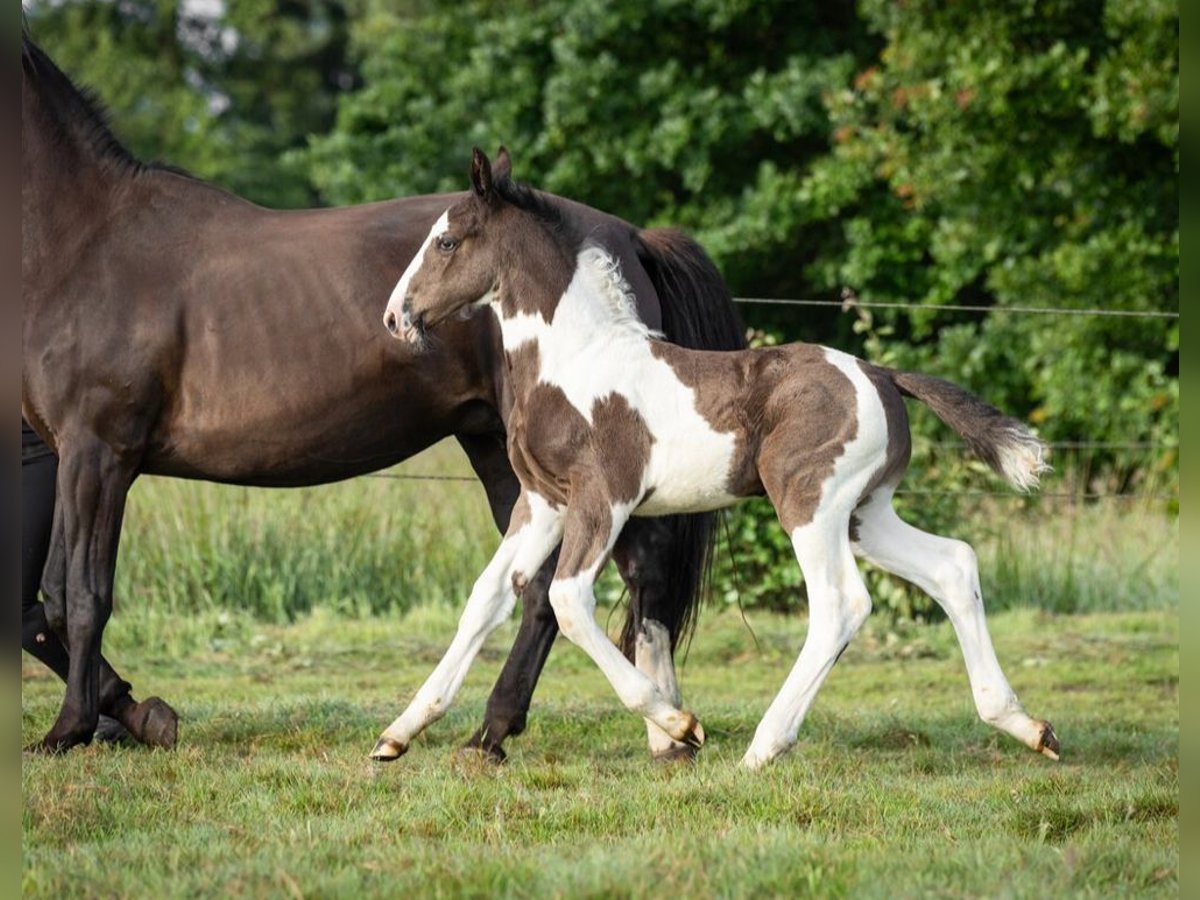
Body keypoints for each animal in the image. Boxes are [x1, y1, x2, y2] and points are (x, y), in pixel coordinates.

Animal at [374, 151, 1060, 772]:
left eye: (446, 240)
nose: (395, 317)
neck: (576, 360)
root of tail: (881, 374)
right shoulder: (543, 502)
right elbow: (487, 596)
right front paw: (397, 734)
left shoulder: (603, 498)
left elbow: (567, 599)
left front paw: (679, 723)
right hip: (866, 512)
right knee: (952, 565)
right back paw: (1026, 725)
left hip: (810, 504)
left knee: (841, 603)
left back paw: (763, 747)